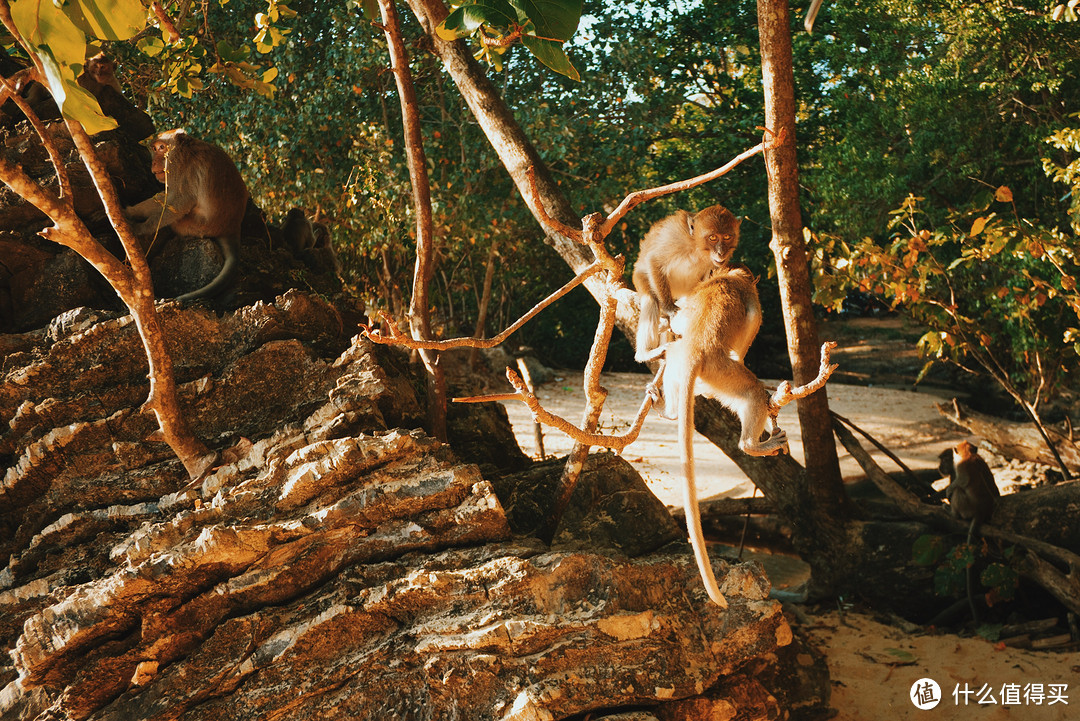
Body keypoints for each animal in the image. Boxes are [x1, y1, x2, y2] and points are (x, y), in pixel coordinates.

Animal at [123, 127, 249, 300]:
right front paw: (129, 211)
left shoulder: (182, 170)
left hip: (196, 227)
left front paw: (139, 227)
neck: (185, 150)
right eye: (154, 149)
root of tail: (232, 227)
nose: (153, 162)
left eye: (162, 148)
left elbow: (178, 203)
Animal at [630, 203, 743, 362]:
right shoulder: (675, 238)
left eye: (727, 237)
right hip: (640, 277)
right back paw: (646, 353)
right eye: (713, 237)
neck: (697, 247)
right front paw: (669, 308)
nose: (721, 252)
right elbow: (654, 261)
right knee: (651, 299)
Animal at [648, 263, 833, 604]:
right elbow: (750, 327)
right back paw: (751, 444)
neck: (725, 278)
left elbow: (679, 318)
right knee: (751, 393)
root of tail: (697, 352)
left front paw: (671, 321)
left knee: (674, 355)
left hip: (683, 364)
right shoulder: (752, 300)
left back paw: (669, 408)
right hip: (721, 371)